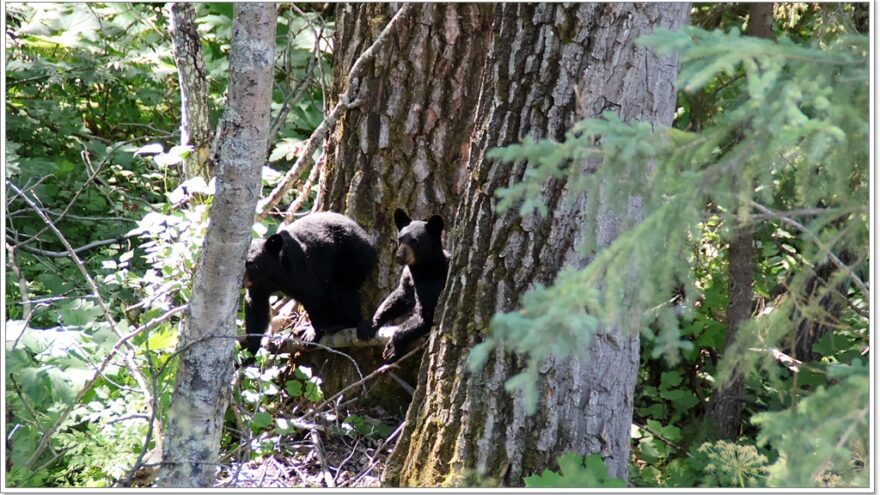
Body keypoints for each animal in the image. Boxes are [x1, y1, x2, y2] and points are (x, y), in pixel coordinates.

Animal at [242, 212, 376, 356]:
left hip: (353, 257)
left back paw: (340, 324)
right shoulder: (259, 284)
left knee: (341, 291)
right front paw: (250, 351)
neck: (273, 274)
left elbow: (314, 295)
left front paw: (313, 335)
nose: (242, 281)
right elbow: (255, 307)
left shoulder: (299, 269)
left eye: (251, 264)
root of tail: (367, 239)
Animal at [358, 207, 450, 362]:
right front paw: (369, 324)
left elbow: (425, 316)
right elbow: (398, 297)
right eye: (400, 239)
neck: (421, 269)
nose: (399, 257)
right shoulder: (408, 279)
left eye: (415, 241)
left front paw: (392, 348)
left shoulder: (433, 283)